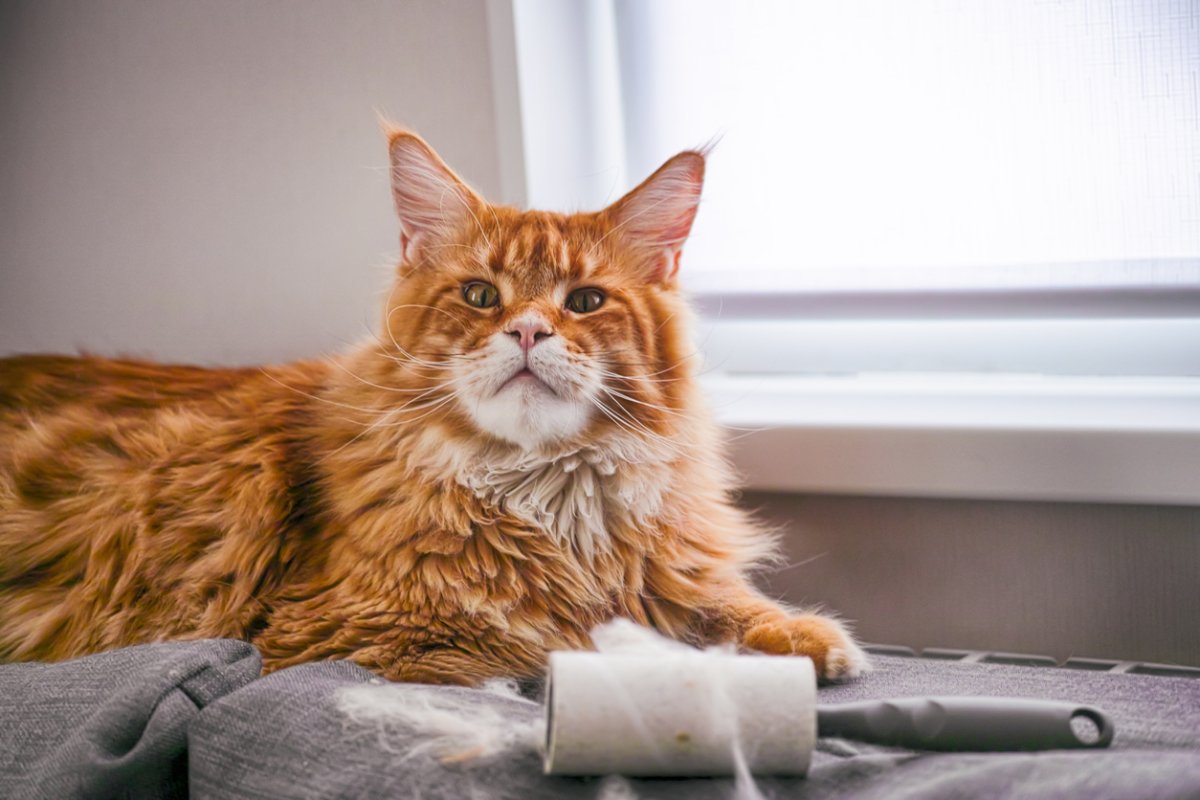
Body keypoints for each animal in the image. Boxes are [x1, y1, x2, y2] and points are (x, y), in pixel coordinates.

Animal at [0, 128, 864, 686]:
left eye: (585, 301)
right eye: (480, 295)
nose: (528, 330)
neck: (546, 496)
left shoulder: (668, 572)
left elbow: (723, 608)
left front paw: (808, 641)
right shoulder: (367, 635)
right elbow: (561, 645)